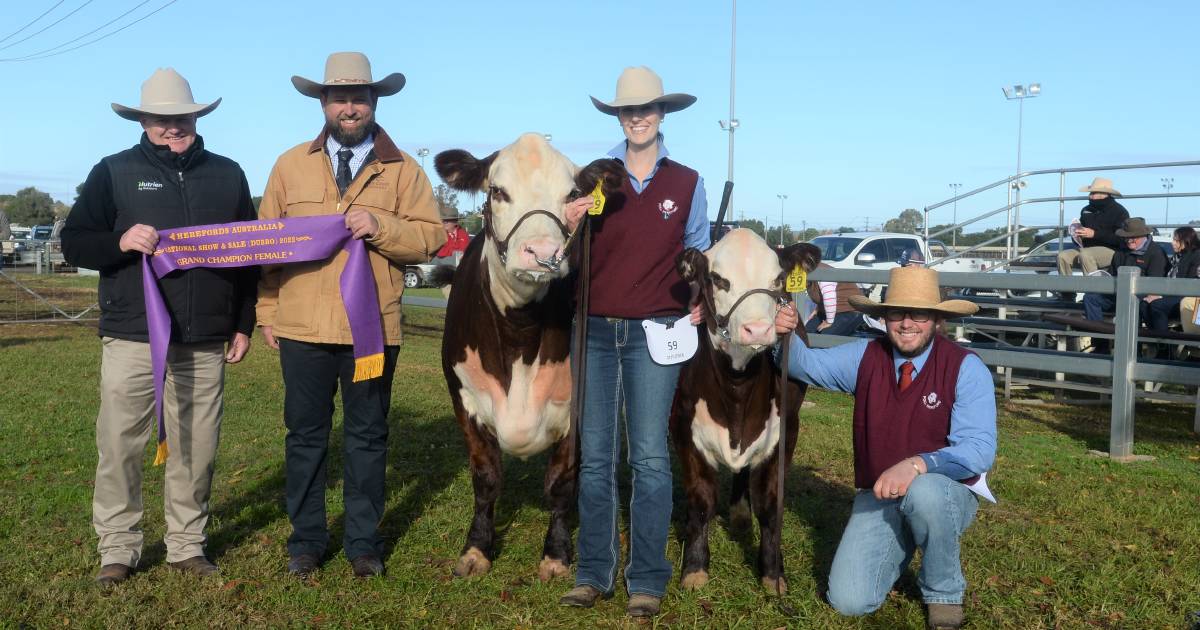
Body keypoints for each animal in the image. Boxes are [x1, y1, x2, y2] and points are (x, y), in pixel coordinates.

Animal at [434, 133, 624, 580]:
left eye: (572, 194)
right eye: (497, 191)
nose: (541, 252)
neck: (519, 333)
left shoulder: (579, 406)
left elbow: (561, 481)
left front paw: (556, 554)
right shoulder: (463, 400)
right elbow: (486, 478)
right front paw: (476, 549)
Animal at [672, 228, 820, 592]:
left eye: (778, 279)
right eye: (717, 279)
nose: (758, 329)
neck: (737, 385)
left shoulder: (786, 431)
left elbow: (770, 504)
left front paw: (772, 573)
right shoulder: (683, 426)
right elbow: (700, 499)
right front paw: (694, 568)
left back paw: (740, 514)